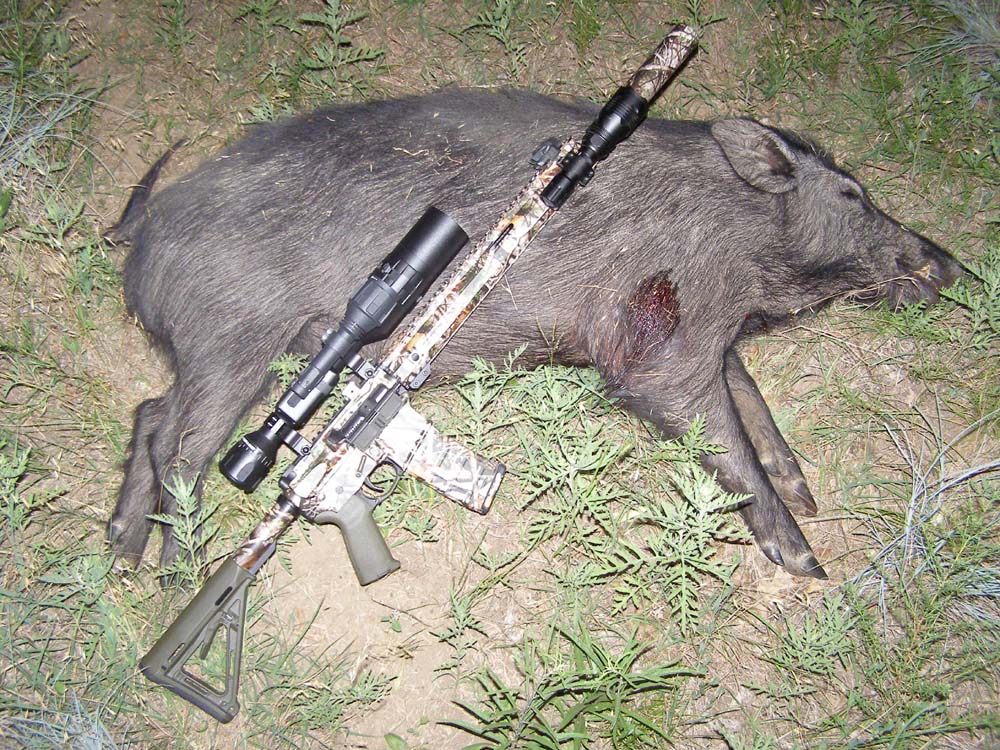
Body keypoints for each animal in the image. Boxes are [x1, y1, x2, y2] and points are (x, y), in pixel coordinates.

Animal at [108, 89, 962, 579]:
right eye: (852, 195)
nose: (951, 263)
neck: (747, 244)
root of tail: (144, 232)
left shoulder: (702, 334)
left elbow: (750, 398)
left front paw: (808, 494)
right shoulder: (656, 344)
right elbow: (725, 440)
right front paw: (810, 564)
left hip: (222, 352)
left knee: (150, 413)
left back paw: (121, 555)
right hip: (232, 339)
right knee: (183, 447)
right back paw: (174, 572)